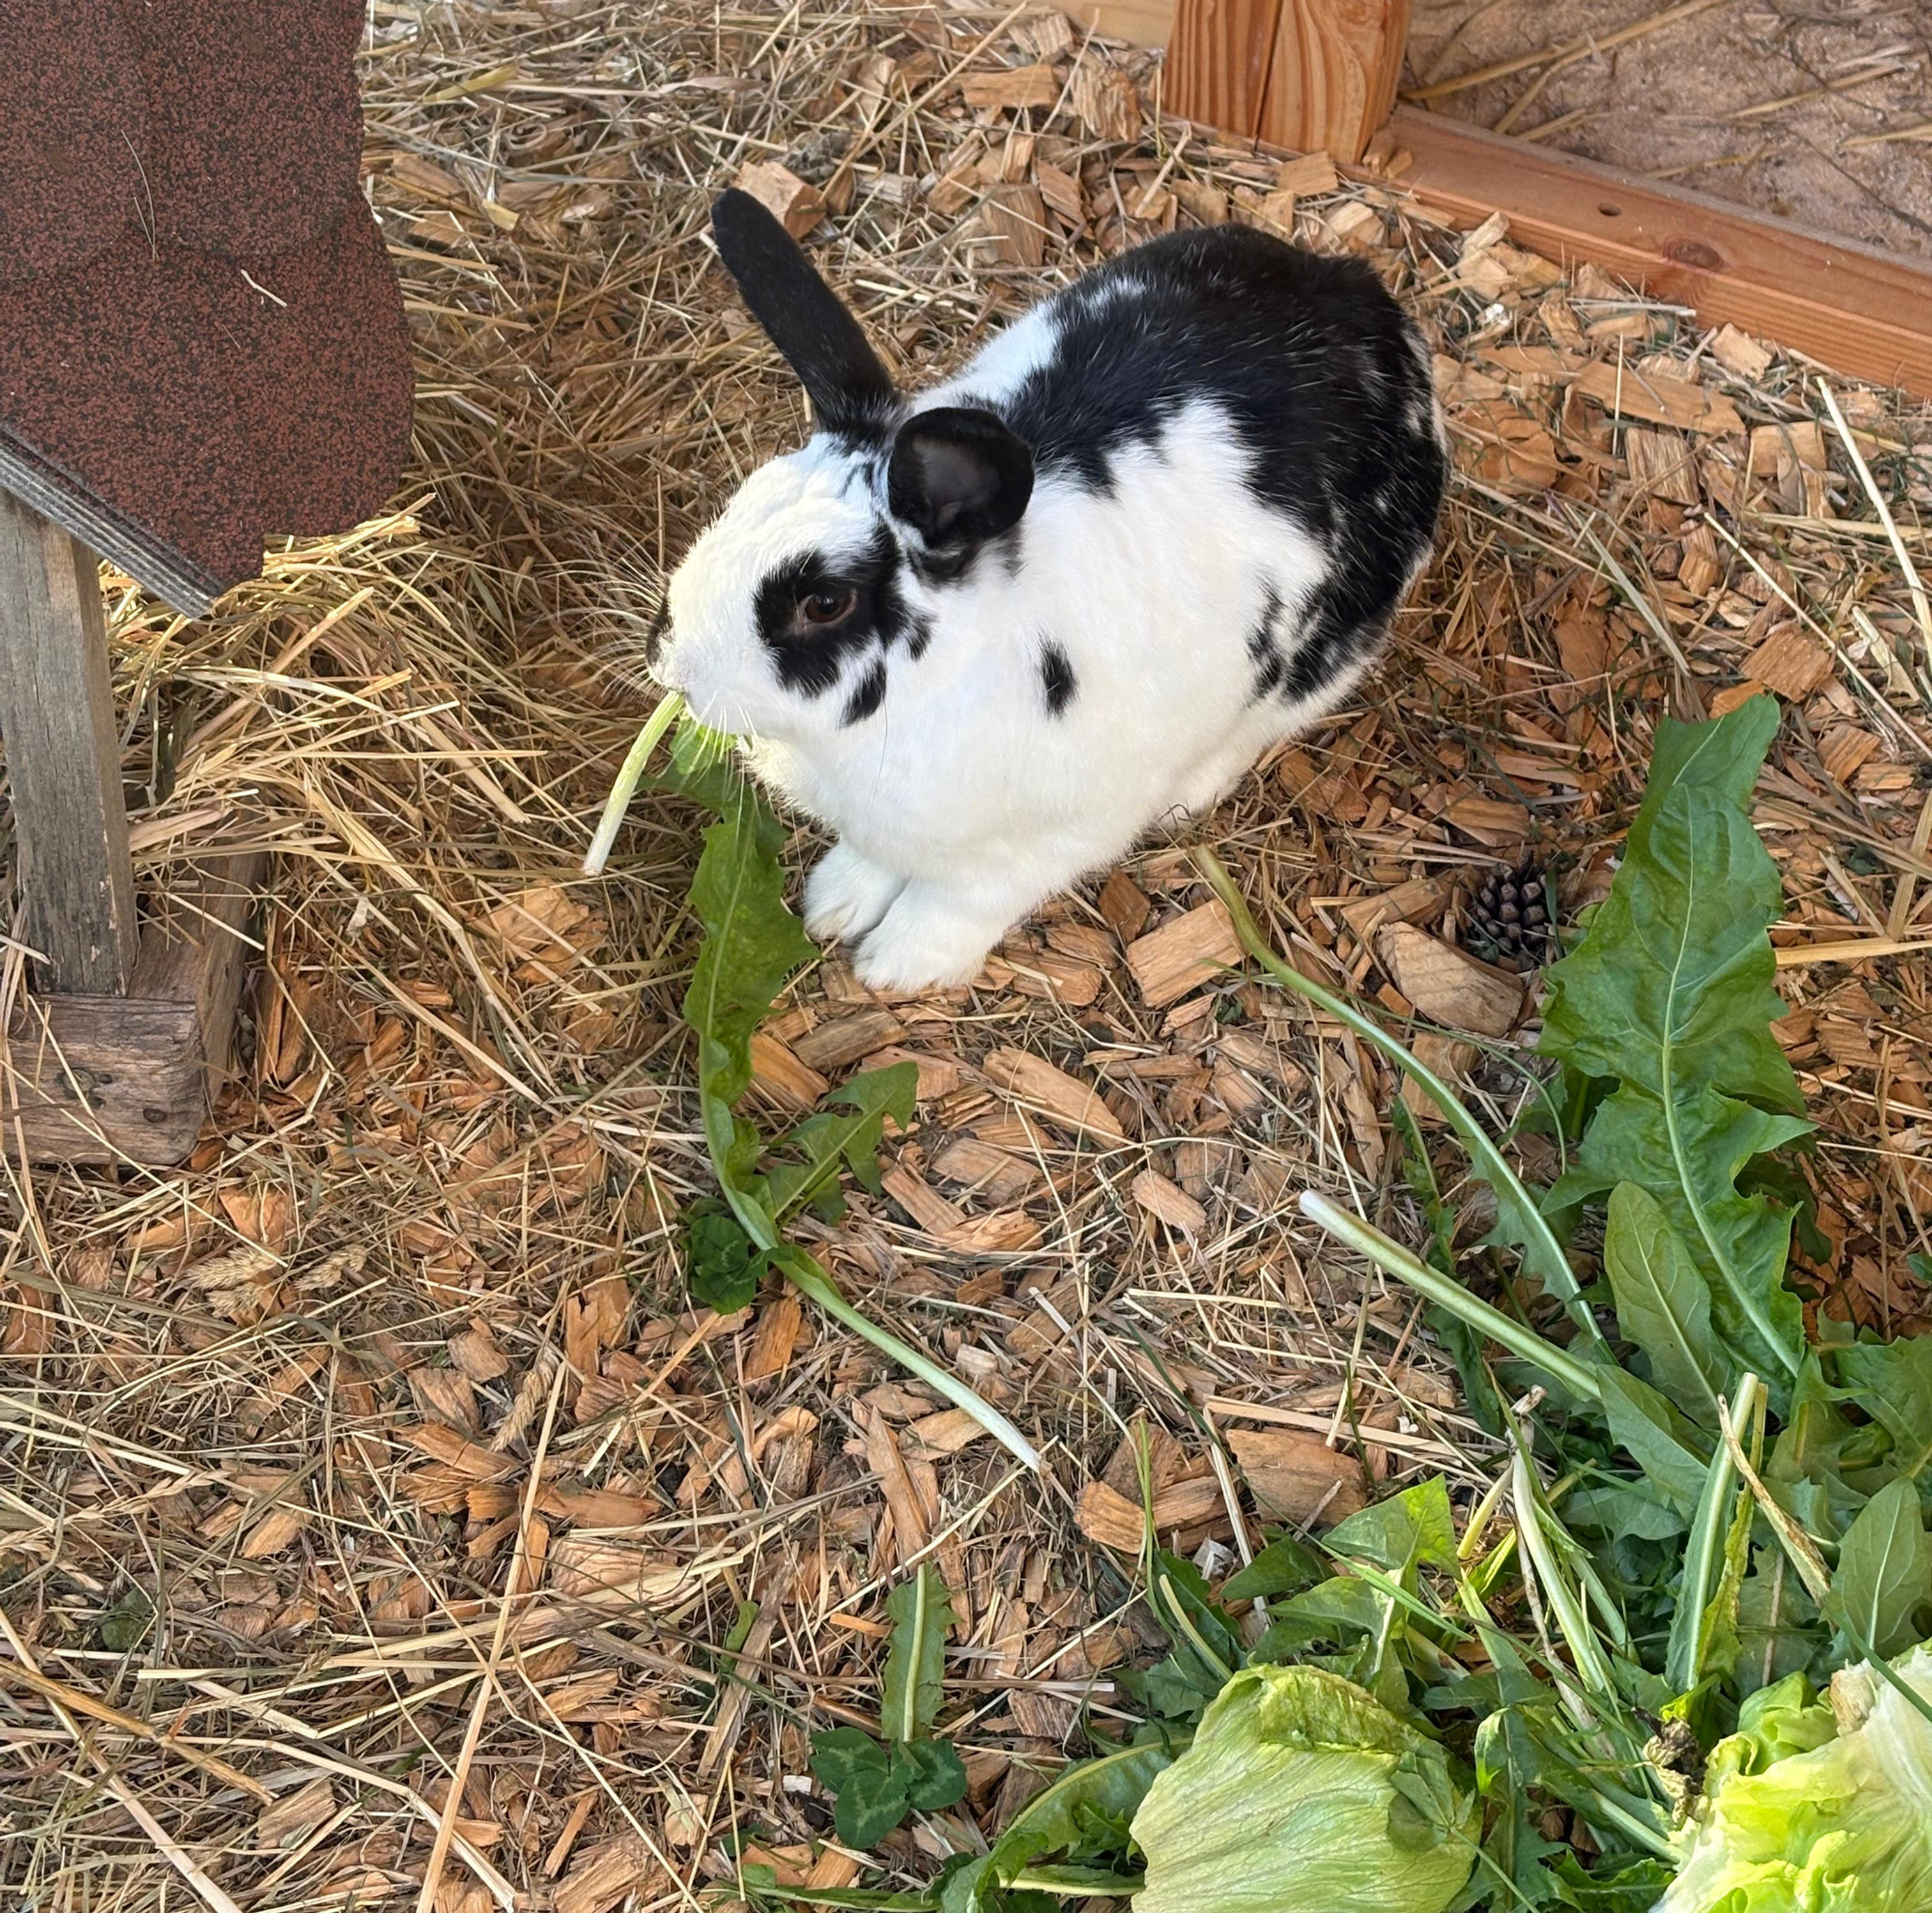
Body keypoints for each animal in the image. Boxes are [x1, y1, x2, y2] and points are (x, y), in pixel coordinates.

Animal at [653, 187, 1447, 993]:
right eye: (740, 501)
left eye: (823, 603)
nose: (673, 665)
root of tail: (1367, 303)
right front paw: (833, 907)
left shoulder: (1046, 843)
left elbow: (959, 904)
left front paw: (895, 967)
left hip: (1328, 656)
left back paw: (1190, 794)